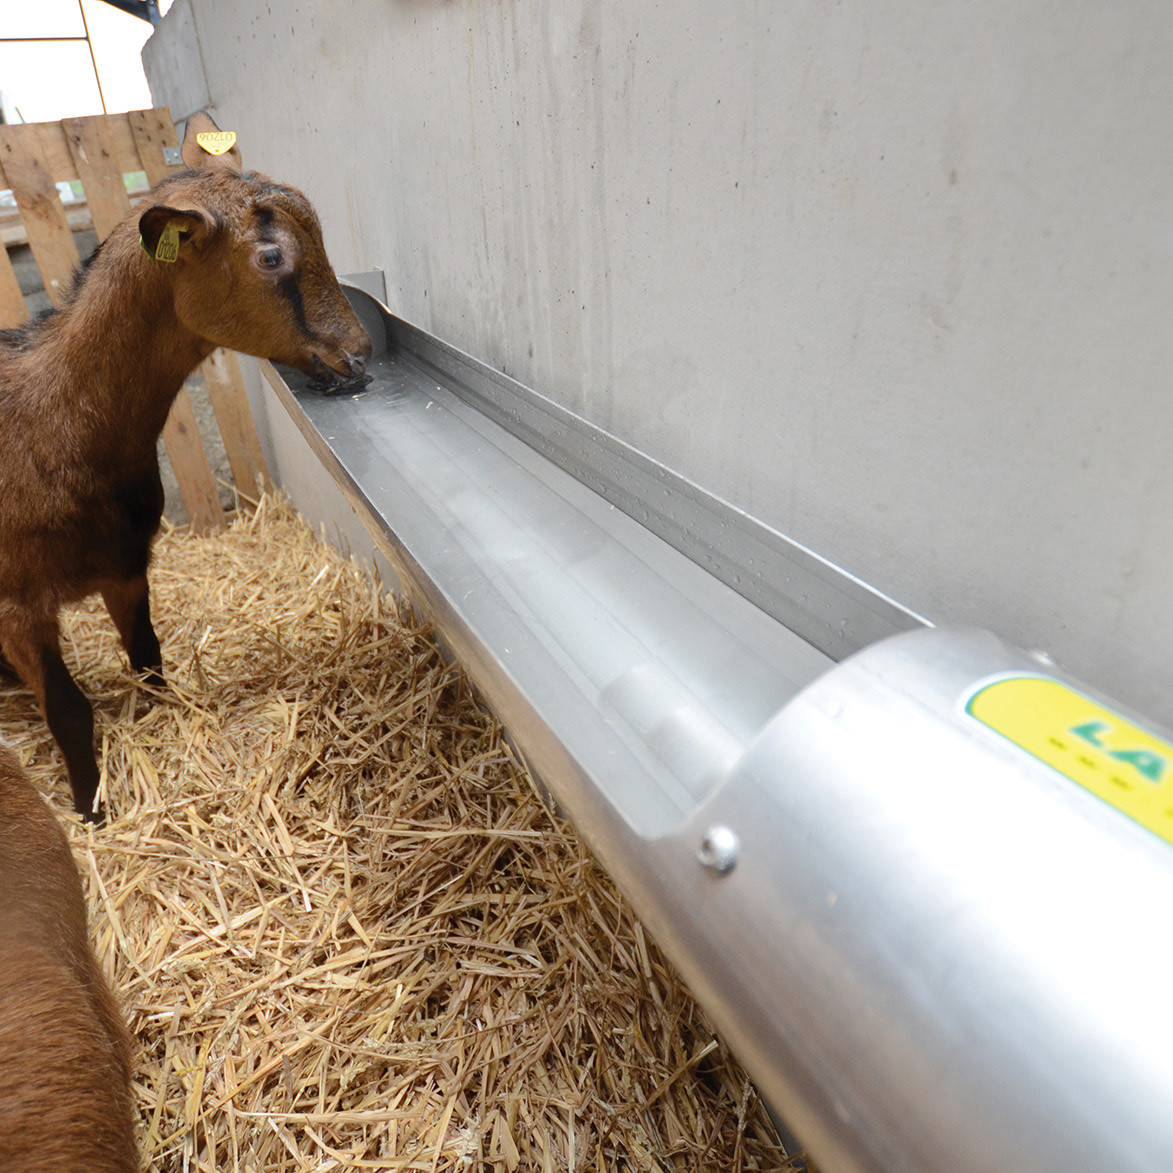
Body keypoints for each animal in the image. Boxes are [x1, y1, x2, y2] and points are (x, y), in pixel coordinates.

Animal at [0, 114, 368, 821]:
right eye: (271, 257)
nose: (360, 356)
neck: (53, 423)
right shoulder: (16, 604)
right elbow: (67, 711)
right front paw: (90, 811)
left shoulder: (125, 563)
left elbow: (147, 656)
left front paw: (164, 715)